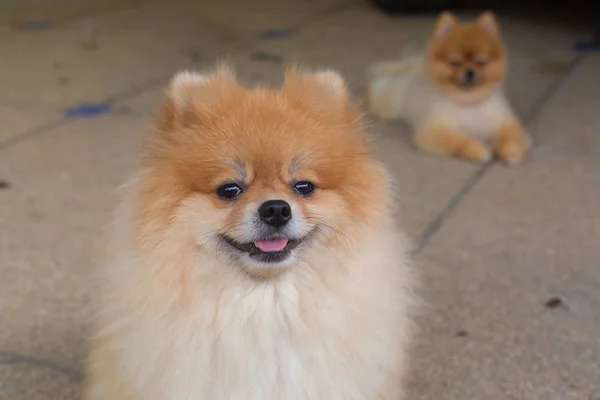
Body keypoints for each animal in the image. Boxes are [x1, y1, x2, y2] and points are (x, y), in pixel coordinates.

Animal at [366, 10, 528, 165]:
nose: (470, 71)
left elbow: (512, 138)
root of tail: (411, 67)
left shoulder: (505, 122)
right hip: (390, 103)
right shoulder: (433, 131)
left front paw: (511, 153)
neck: (468, 102)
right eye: (455, 62)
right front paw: (479, 150)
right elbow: (459, 140)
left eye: (481, 62)